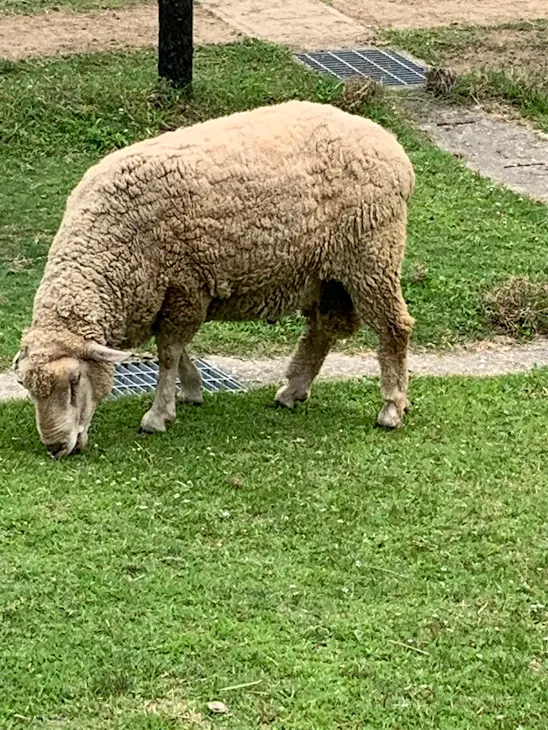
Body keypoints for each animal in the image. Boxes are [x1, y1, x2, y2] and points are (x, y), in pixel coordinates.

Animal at [13, 99, 416, 458]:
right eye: (26, 387)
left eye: (74, 381)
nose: (55, 448)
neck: (110, 242)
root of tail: (392, 145)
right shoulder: (165, 295)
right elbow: (175, 350)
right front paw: (191, 390)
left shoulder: (184, 286)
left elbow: (168, 353)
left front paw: (158, 415)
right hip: (325, 274)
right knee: (322, 329)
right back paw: (292, 391)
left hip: (372, 256)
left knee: (394, 327)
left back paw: (391, 408)